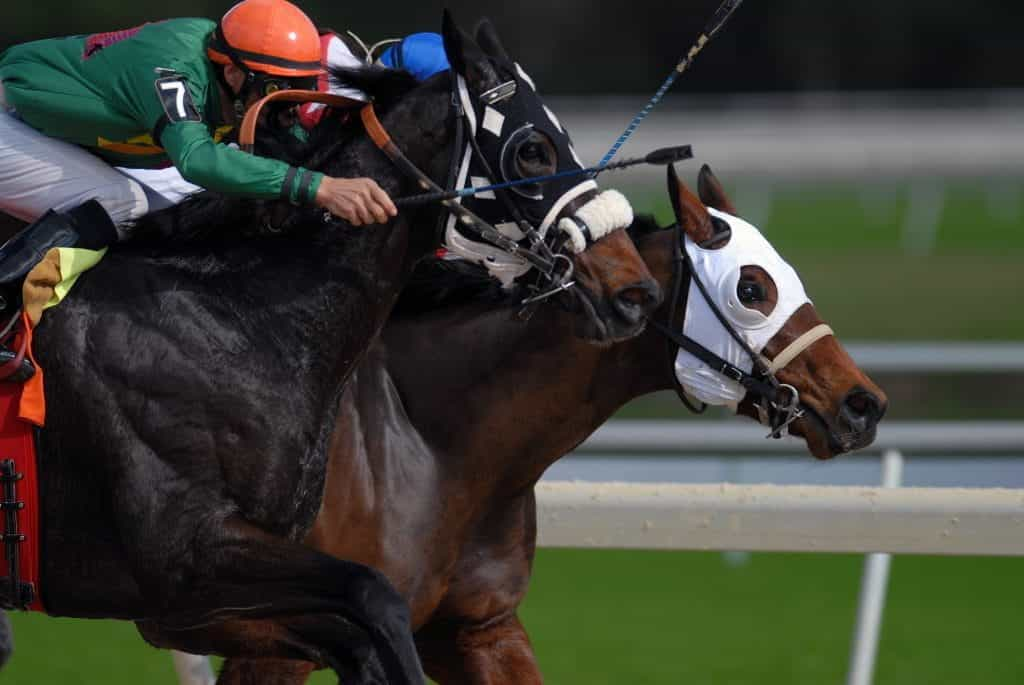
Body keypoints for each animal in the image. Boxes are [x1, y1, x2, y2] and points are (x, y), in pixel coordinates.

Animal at [0, 12, 659, 683]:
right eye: (531, 148)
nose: (633, 291)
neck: (236, 318)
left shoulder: (223, 596)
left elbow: (360, 632)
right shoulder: (185, 559)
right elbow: (375, 597)